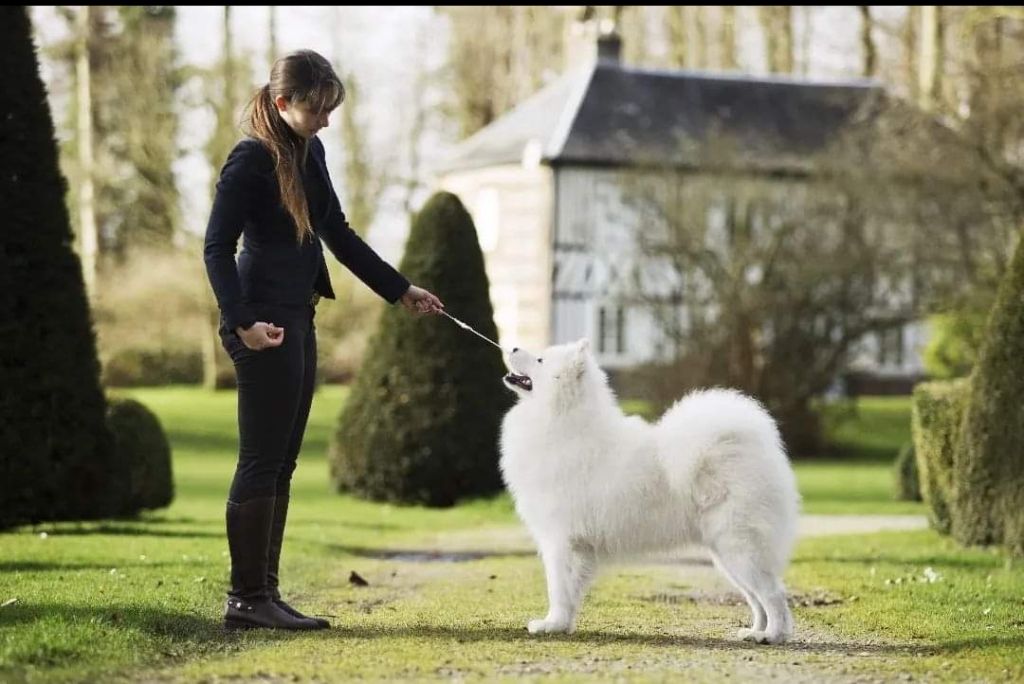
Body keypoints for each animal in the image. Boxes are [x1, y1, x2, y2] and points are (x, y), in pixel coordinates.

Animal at [499, 339, 802, 643]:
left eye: (540, 359)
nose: (511, 347)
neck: (561, 418)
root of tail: (747, 443)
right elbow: (570, 591)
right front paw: (563, 625)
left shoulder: (562, 540)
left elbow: (559, 589)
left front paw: (552, 624)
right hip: (725, 553)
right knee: (756, 598)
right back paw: (754, 632)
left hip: (739, 546)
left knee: (773, 594)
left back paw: (772, 635)